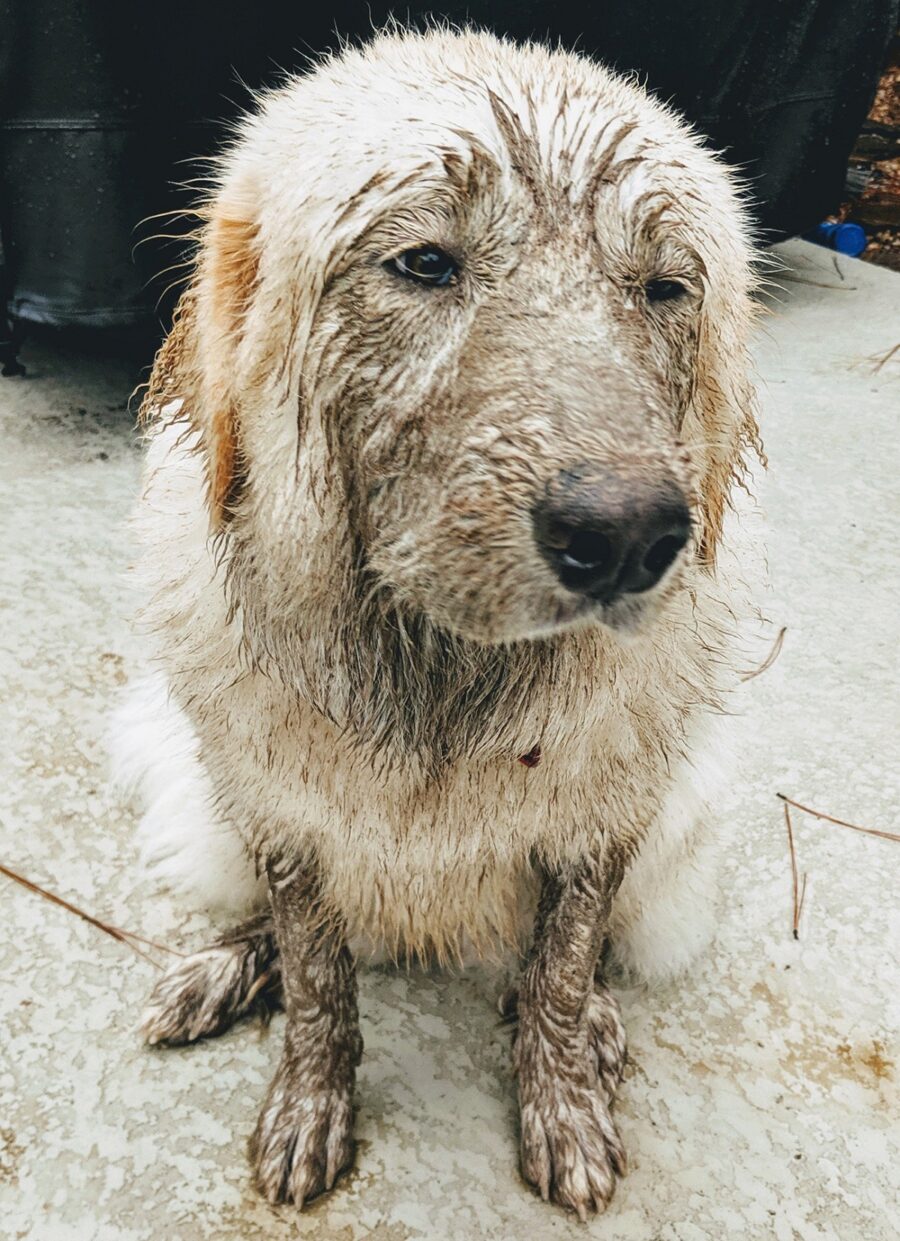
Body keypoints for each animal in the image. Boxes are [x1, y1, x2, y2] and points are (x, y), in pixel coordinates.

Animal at [110, 24, 759, 1216]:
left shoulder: (599, 817)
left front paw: (563, 1091)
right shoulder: (286, 813)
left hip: (682, 801)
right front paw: (310, 1098)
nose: (629, 536)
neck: (440, 683)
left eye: (663, 288)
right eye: (424, 264)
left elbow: (562, 960)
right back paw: (226, 966)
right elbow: (319, 975)